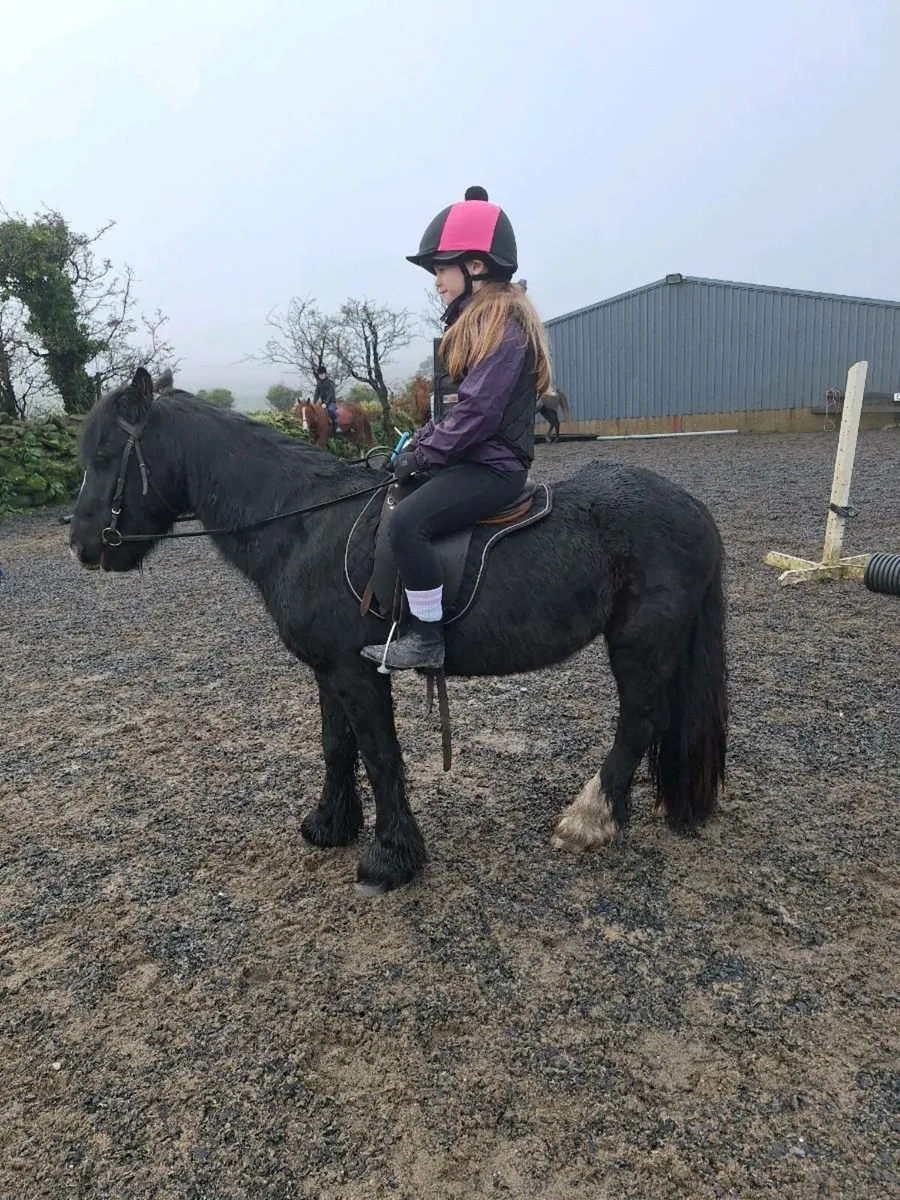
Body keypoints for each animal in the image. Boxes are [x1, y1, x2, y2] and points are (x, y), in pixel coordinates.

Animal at [69, 367, 728, 896]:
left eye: (104, 455)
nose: (80, 544)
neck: (304, 525)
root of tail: (691, 506)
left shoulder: (357, 670)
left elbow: (381, 754)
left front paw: (390, 857)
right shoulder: (328, 670)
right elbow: (337, 747)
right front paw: (329, 825)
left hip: (639, 643)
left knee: (638, 721)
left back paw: (591, 818)